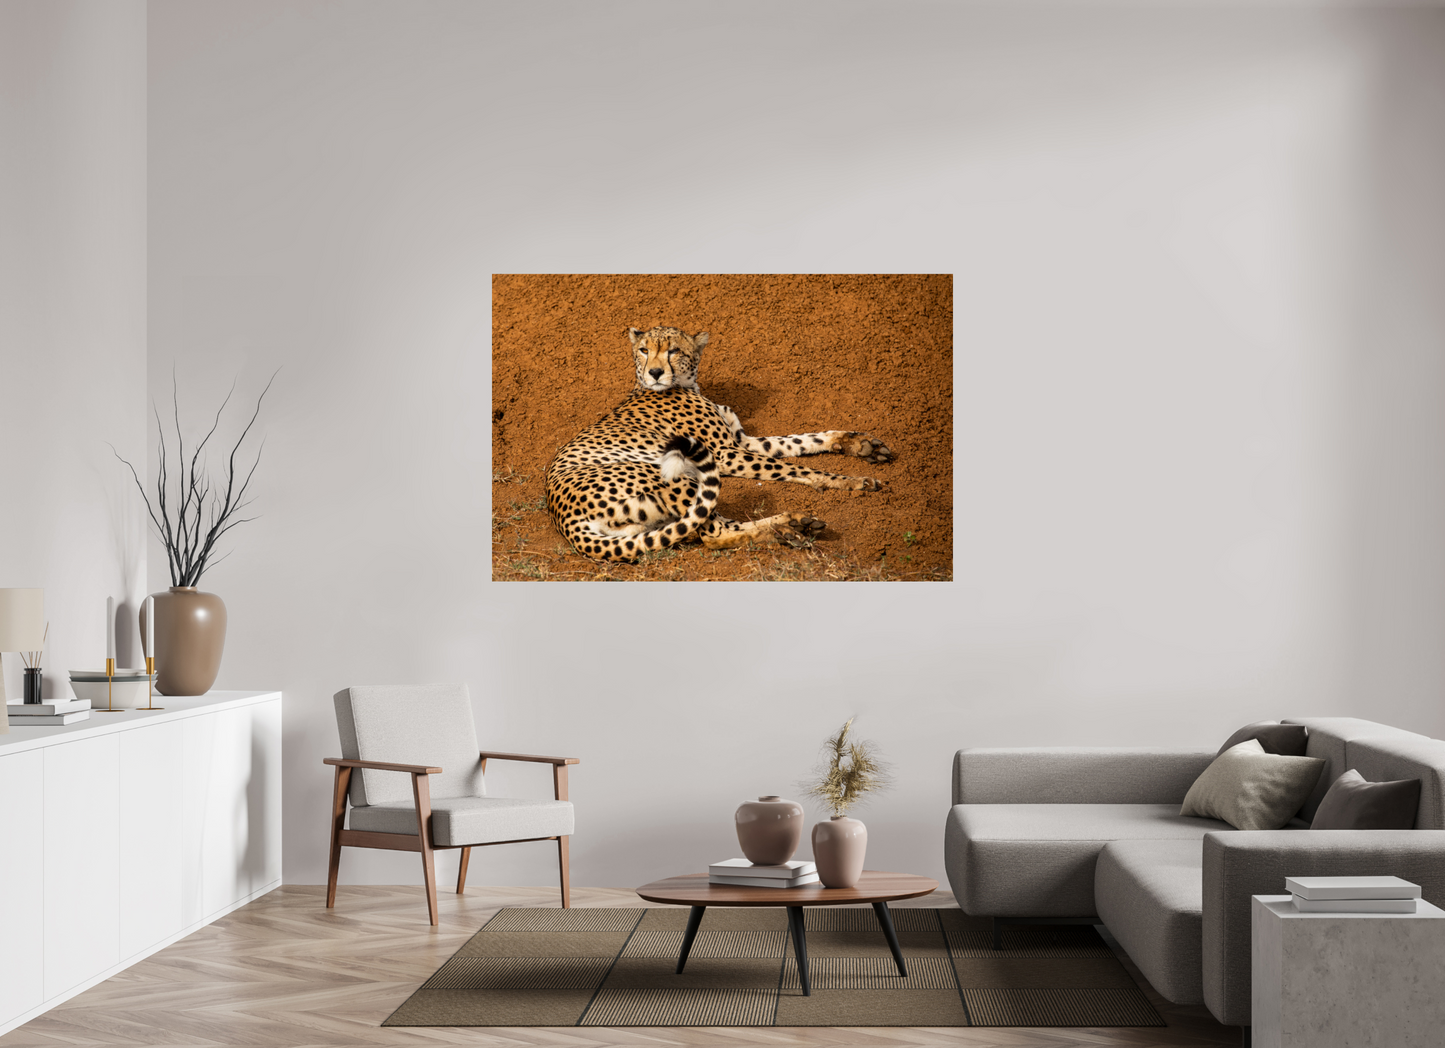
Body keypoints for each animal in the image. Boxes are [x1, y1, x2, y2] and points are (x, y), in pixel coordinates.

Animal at [545, 325, 893, 563]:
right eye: (644, 350)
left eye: (673, 351)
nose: (655, 372)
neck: (686, 384)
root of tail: (563, 518)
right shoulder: (724, 453)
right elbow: (794, 466)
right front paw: (851, 481)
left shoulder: (742, 442)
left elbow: (799, 441)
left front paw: (859, 444)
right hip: (672, 477)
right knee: (713, 533)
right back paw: (787, 527)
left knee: (709, 527)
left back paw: (791, 527)